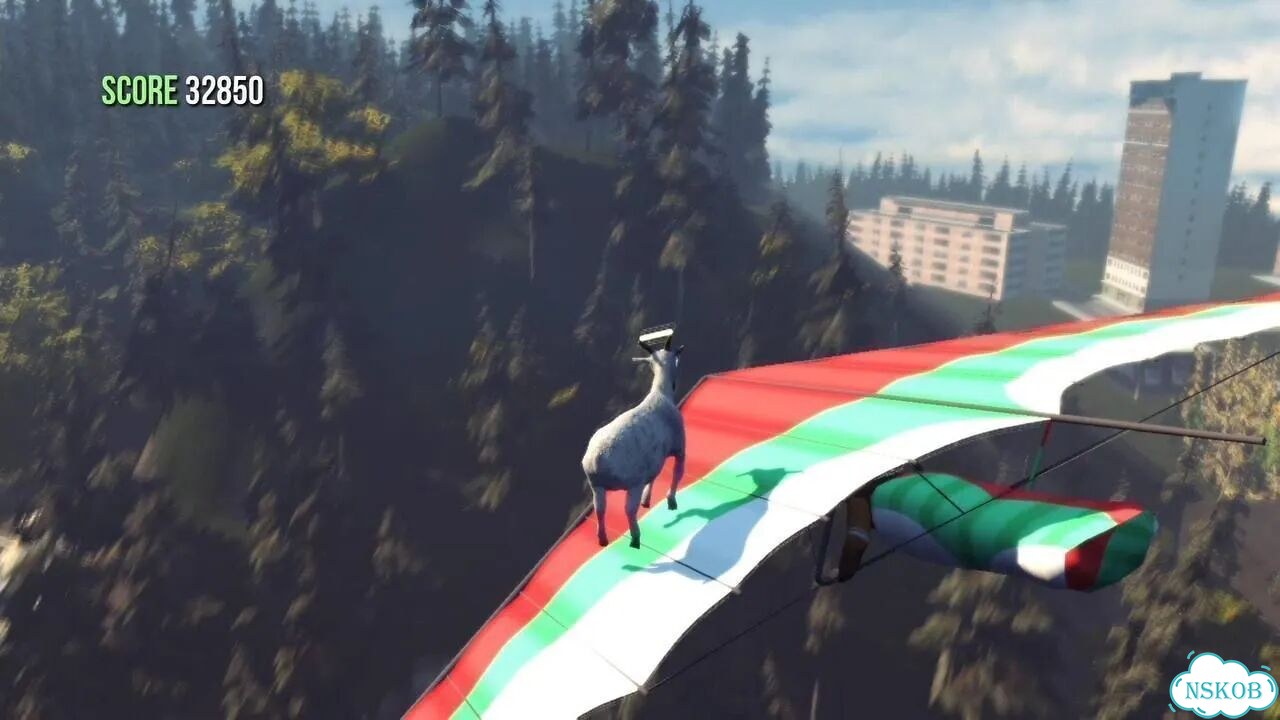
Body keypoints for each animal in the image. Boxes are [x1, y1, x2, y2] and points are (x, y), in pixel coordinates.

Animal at [582, 341, 686, 548]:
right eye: (675, 359)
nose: (675, 382)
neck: (660, 394)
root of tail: (596, 461)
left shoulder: (653, 460)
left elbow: (654, 477)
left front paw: (648, 500)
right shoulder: (680, 447)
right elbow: (677, 473)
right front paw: (671, 501)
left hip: (596, 486)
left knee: (600, 510)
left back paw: (602, 539)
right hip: (632, 483)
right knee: (628, 509)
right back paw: (635, 537)